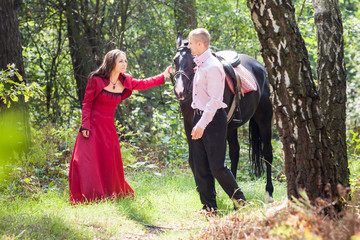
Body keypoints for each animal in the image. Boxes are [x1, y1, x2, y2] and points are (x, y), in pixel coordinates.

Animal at [172, 33, 276, 202]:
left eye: (193, 61)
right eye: (175, 60)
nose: (180, 91)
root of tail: (260, 67)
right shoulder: (190, 126)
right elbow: (193, 160)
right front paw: (202, 191)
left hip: (264, 119)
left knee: (267, 153)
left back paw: (269, 193)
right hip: (231, 127)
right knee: (235, 152)